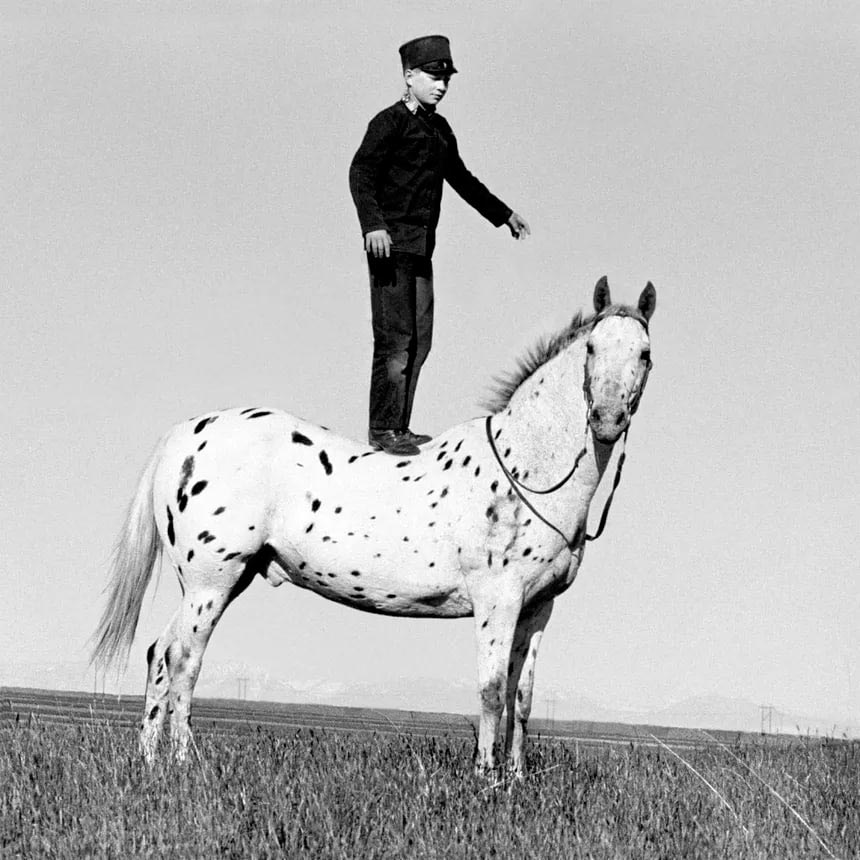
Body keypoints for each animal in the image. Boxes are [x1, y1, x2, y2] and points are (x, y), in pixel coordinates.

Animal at [92, 278, 660, 776]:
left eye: (645, 354)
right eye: (592, 348)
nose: (607, 418)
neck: (525, 469)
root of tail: (185, 436)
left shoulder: (538, 607)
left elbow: (522, 697)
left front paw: (517, 778)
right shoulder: (497, 601)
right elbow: (492, 692)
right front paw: (486, 778)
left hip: (219, 582)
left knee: (159, 654)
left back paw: (150, 762)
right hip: (212, 581)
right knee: (184, 658)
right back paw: (184, 763)